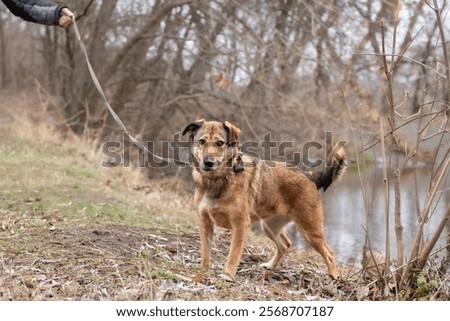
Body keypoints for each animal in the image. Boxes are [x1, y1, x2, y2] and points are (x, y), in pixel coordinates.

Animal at [181, 119, 346, 278]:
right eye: (201, 141)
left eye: (220, 143)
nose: (208, 163)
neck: (217, 179)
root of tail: (309, 175)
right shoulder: (205, 222)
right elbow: (205, 251)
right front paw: (204, 270)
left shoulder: (240, 225)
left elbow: (233, 254)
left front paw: (228, 274)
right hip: (270, 227)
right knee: (285, 245)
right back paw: (270, 266)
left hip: (310, 230)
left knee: (329, 253)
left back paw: (333, 278)